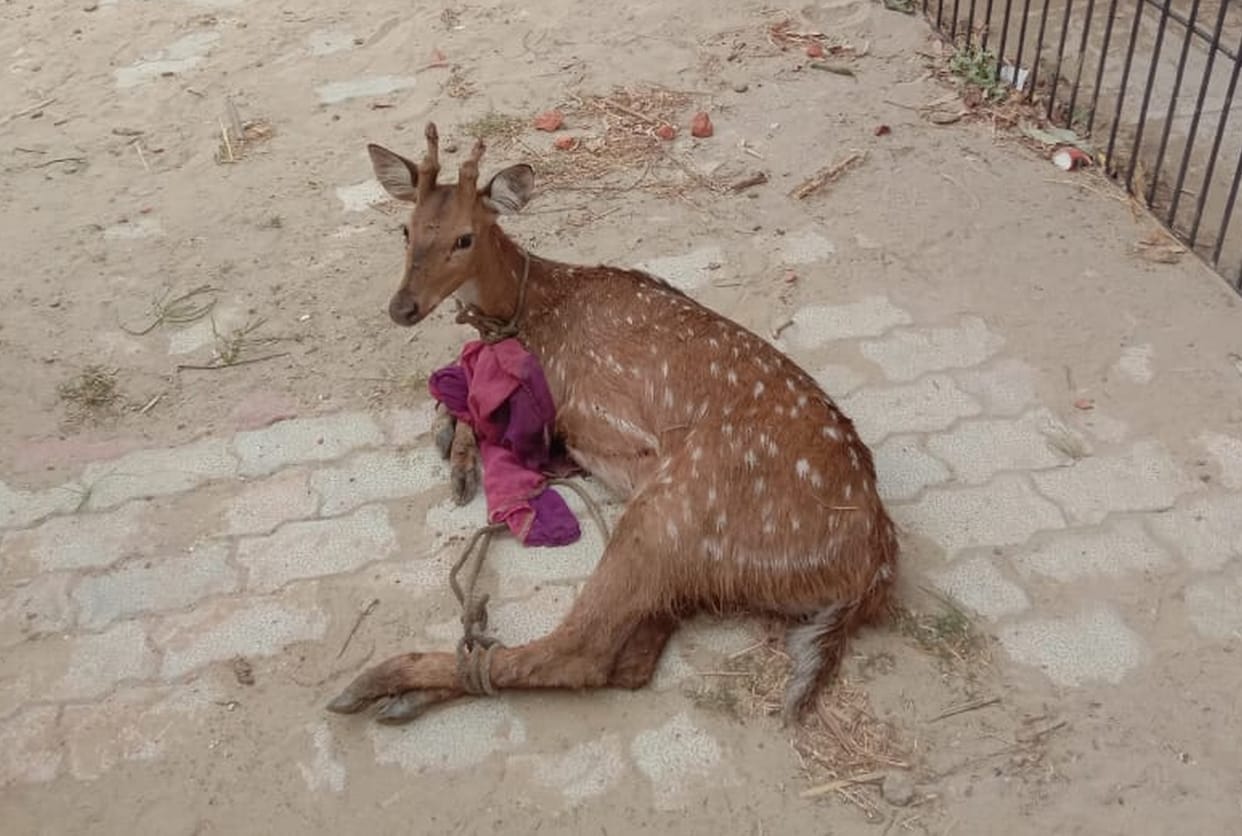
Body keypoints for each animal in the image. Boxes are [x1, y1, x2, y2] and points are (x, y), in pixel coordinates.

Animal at [326, 123, 899, 726]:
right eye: (405, 229)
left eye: (465, 237)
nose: (403, 307)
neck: (536, 307)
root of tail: (871, 573)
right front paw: (452, 446)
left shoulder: (566, 411)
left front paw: (457, 451)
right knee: (633, 659)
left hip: (677, 510)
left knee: (581, 650)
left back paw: (381, 682)